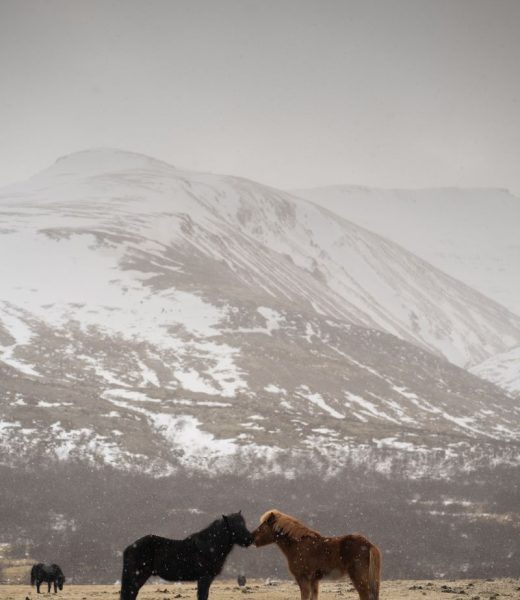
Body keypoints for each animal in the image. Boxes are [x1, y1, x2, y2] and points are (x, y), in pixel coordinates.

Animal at [120, 510, 254, 600]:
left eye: (243, 523)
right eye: (234, 526)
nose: (250, 539)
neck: (209, 546)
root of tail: (130, 547)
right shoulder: (204, 578)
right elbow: (202, 596)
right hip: (137, 576)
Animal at [252, 508, 382, 600]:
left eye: (262, 527)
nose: (251, 538)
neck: (298, 545)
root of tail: (369, 545)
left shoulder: (303, 578)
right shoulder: (314, 581)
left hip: (359, 578)